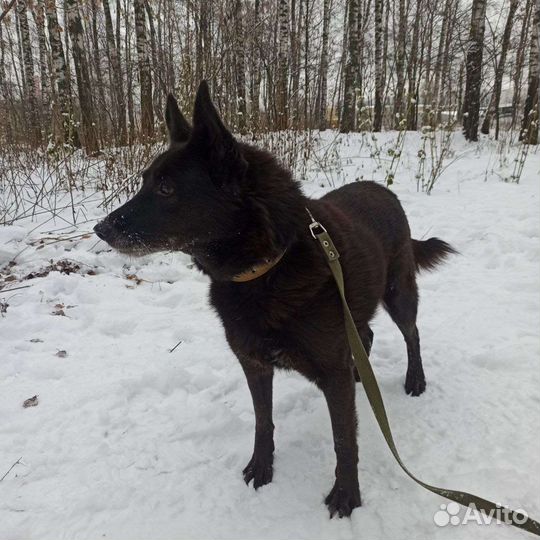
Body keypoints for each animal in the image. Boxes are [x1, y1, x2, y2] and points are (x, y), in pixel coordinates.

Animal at [95, 81, 454, 520]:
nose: (100, 228)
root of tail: (382, 188)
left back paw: (415, 379)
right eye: (145, 181)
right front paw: (261, 467)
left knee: (411, 334)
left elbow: (344, 440)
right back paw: (361, 373)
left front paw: (346, 494)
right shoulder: (254, 364)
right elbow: (262, 422)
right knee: (365, 336)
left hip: (398, 293)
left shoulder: (330, 372)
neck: (266, 269)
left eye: (165, 189)